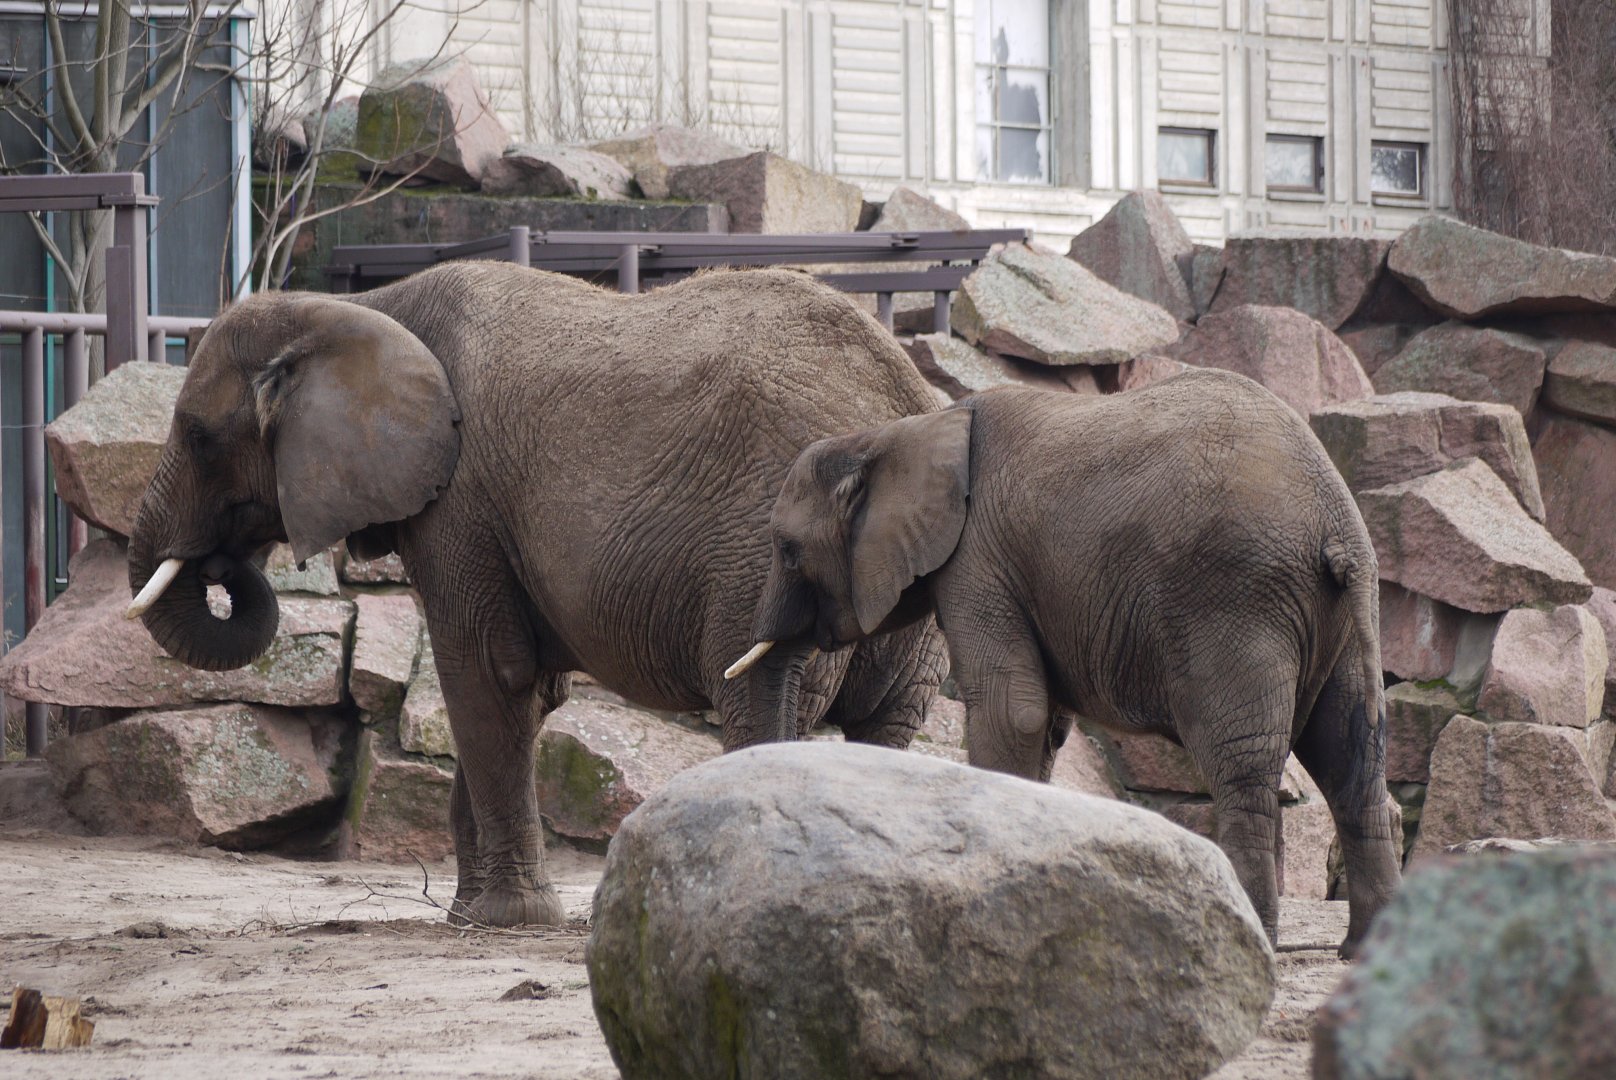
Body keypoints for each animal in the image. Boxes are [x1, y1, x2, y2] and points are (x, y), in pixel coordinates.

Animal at [125, 262, 947, 928]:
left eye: (196, 435)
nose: (222, 564)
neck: (355, 307)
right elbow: (514, 694)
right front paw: (467, 917)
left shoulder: (460, 502)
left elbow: (488, 676)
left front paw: (505, 919)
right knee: (886, 727)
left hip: (765, 553)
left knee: (761, 699)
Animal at [730, 369, 1403, 956]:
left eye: (787, 551)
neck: (901, 432)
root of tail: (1335, 522)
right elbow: (1045, 723)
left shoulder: (978, 558)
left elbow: (1013, 712)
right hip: (1349, 610)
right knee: (1353, 757)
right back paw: (1362, 950)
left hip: (1237, 597)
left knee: (1243, 764)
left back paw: (1260, 939)